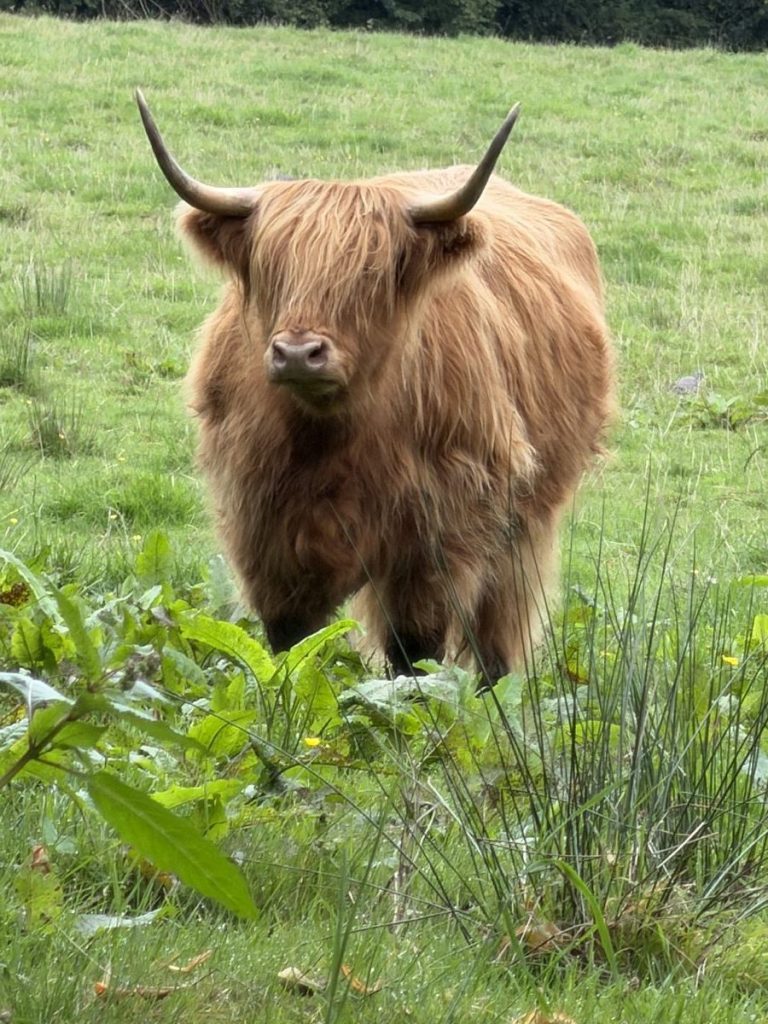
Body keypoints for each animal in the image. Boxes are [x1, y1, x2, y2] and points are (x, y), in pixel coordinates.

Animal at [136, 90, 615, 688]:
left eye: (369, 274)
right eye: (271, 266)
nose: (298, 353)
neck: (330, 437)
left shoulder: (434, 543)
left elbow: (415, 655)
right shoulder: (264, 533)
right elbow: (292, 644)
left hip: (522, 528)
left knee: (494, 642)